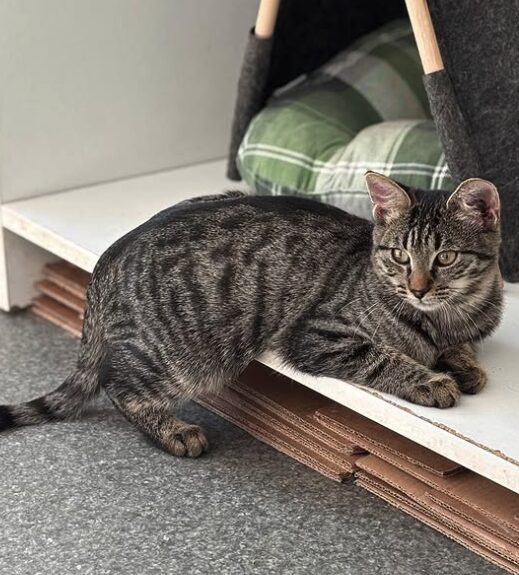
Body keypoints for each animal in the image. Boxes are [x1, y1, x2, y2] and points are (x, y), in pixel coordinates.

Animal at [0, 173, 504, 456]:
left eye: (445, 258)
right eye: (400, 255)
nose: (418, 288)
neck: (448, 314)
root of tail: (110, 255)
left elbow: (462, 347)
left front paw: (464, 364)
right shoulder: (317, 336)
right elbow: (385, 357)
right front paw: (432, 379)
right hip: (184, 355)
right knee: (118, 384)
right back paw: (173, 431)